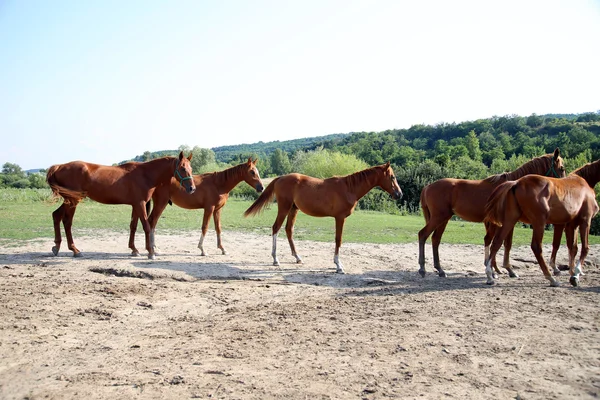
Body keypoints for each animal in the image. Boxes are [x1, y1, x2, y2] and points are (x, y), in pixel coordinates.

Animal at [45, 151, 195, 260]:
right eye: (182, 168)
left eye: (191, 168)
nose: (192, 188)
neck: (145, 174)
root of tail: (59, 166)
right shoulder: (140, 204)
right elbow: (146, 226)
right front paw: (150, 252)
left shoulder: (136, 205)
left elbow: (133, 226)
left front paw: (134, 249)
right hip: (73, 201)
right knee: (67, 221)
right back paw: (75, 250)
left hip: (69, 201)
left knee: (56, 215)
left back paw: (57, 247)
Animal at [129, 157, 262, 255]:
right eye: (252, 172)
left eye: (257, 171)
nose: (261, 187)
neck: (218, 184)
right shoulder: (209, 208)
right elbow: (205, 227)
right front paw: (202, 249)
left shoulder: (217, 210)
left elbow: (218, 228)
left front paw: (222, 249)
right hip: (161, 203)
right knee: (152, 221)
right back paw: (153, 249)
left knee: (153, 223)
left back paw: (153, 248)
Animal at [418, 148, 564, 278]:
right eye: (562, 168)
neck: (512, 187)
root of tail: (428, 186)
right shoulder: (506, 222)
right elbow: (504, 244)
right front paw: (504, 270)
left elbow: (502, 243)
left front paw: (498, 269)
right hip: (439, 217)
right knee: (423, 235)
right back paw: (423, 268)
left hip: (444, 219)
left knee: (435, 239)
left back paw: (440, 270)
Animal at [482, 158, 600, 286]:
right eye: (562, 168)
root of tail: (516, 183)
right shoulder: (585, 221)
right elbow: (584, 248)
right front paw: (575, 274)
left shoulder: (571, 225)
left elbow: (572, 248)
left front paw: (572, 272)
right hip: (539, 223)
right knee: (536, 247)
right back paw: (550, 278)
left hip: (509, 220)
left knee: (496, 242)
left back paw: (490, 275)